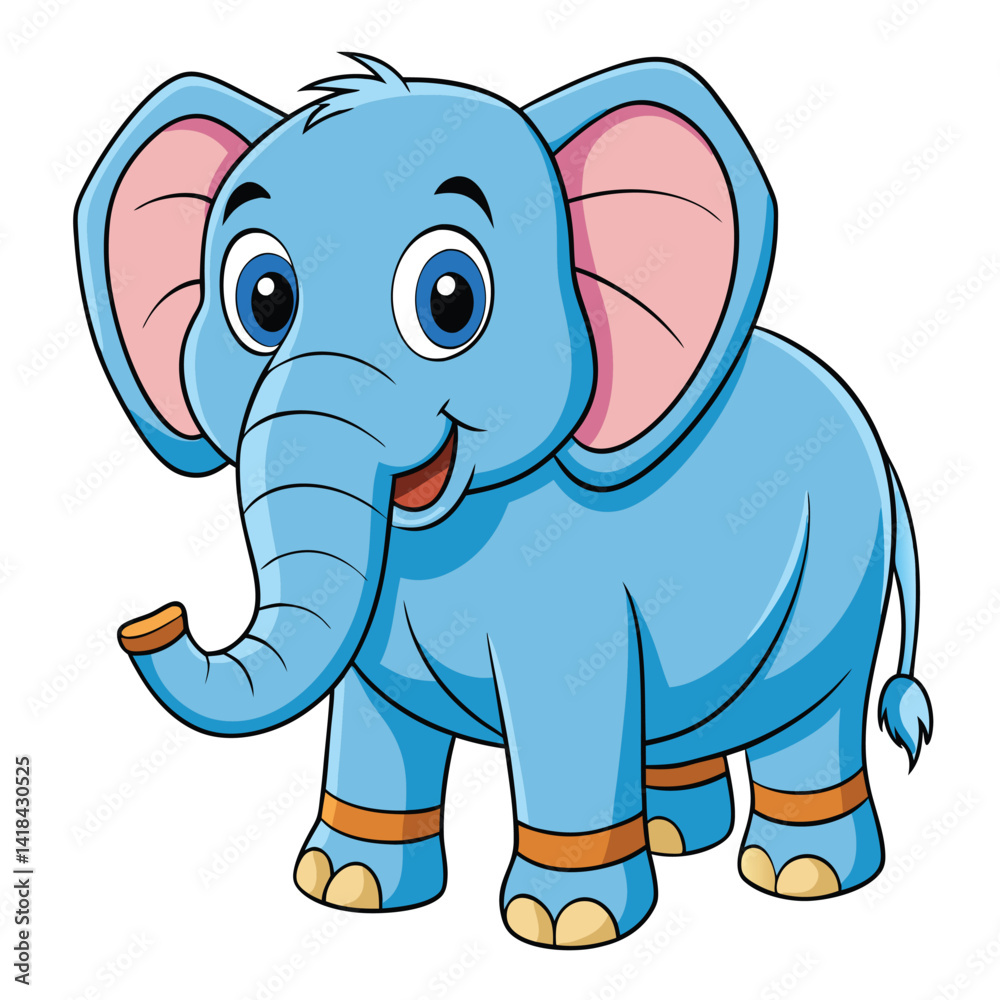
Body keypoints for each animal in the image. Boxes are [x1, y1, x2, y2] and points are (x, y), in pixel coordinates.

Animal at [76, 55, 933, 949]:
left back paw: (801, 876)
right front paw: (347, 888)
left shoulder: (572, 604)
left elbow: (566, 713)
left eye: (449, 299)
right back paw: (675, 834)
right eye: (264, 299)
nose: (152, 619)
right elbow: (374, 721)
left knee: (813, 712)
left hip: (839, 576)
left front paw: (565, 923)